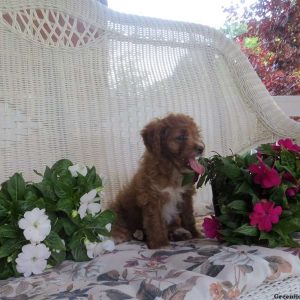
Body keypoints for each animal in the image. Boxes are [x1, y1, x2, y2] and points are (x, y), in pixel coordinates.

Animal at [110, 112, 206, 248]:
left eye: (196, 134)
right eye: (181, 137)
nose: (201, 148)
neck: (172, 170)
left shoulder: (186, 195)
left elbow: (189, 217)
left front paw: (196, 234)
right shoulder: (151, 197)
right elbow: (155, 222)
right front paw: (160, 244)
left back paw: (178, 233)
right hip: (118, 210)